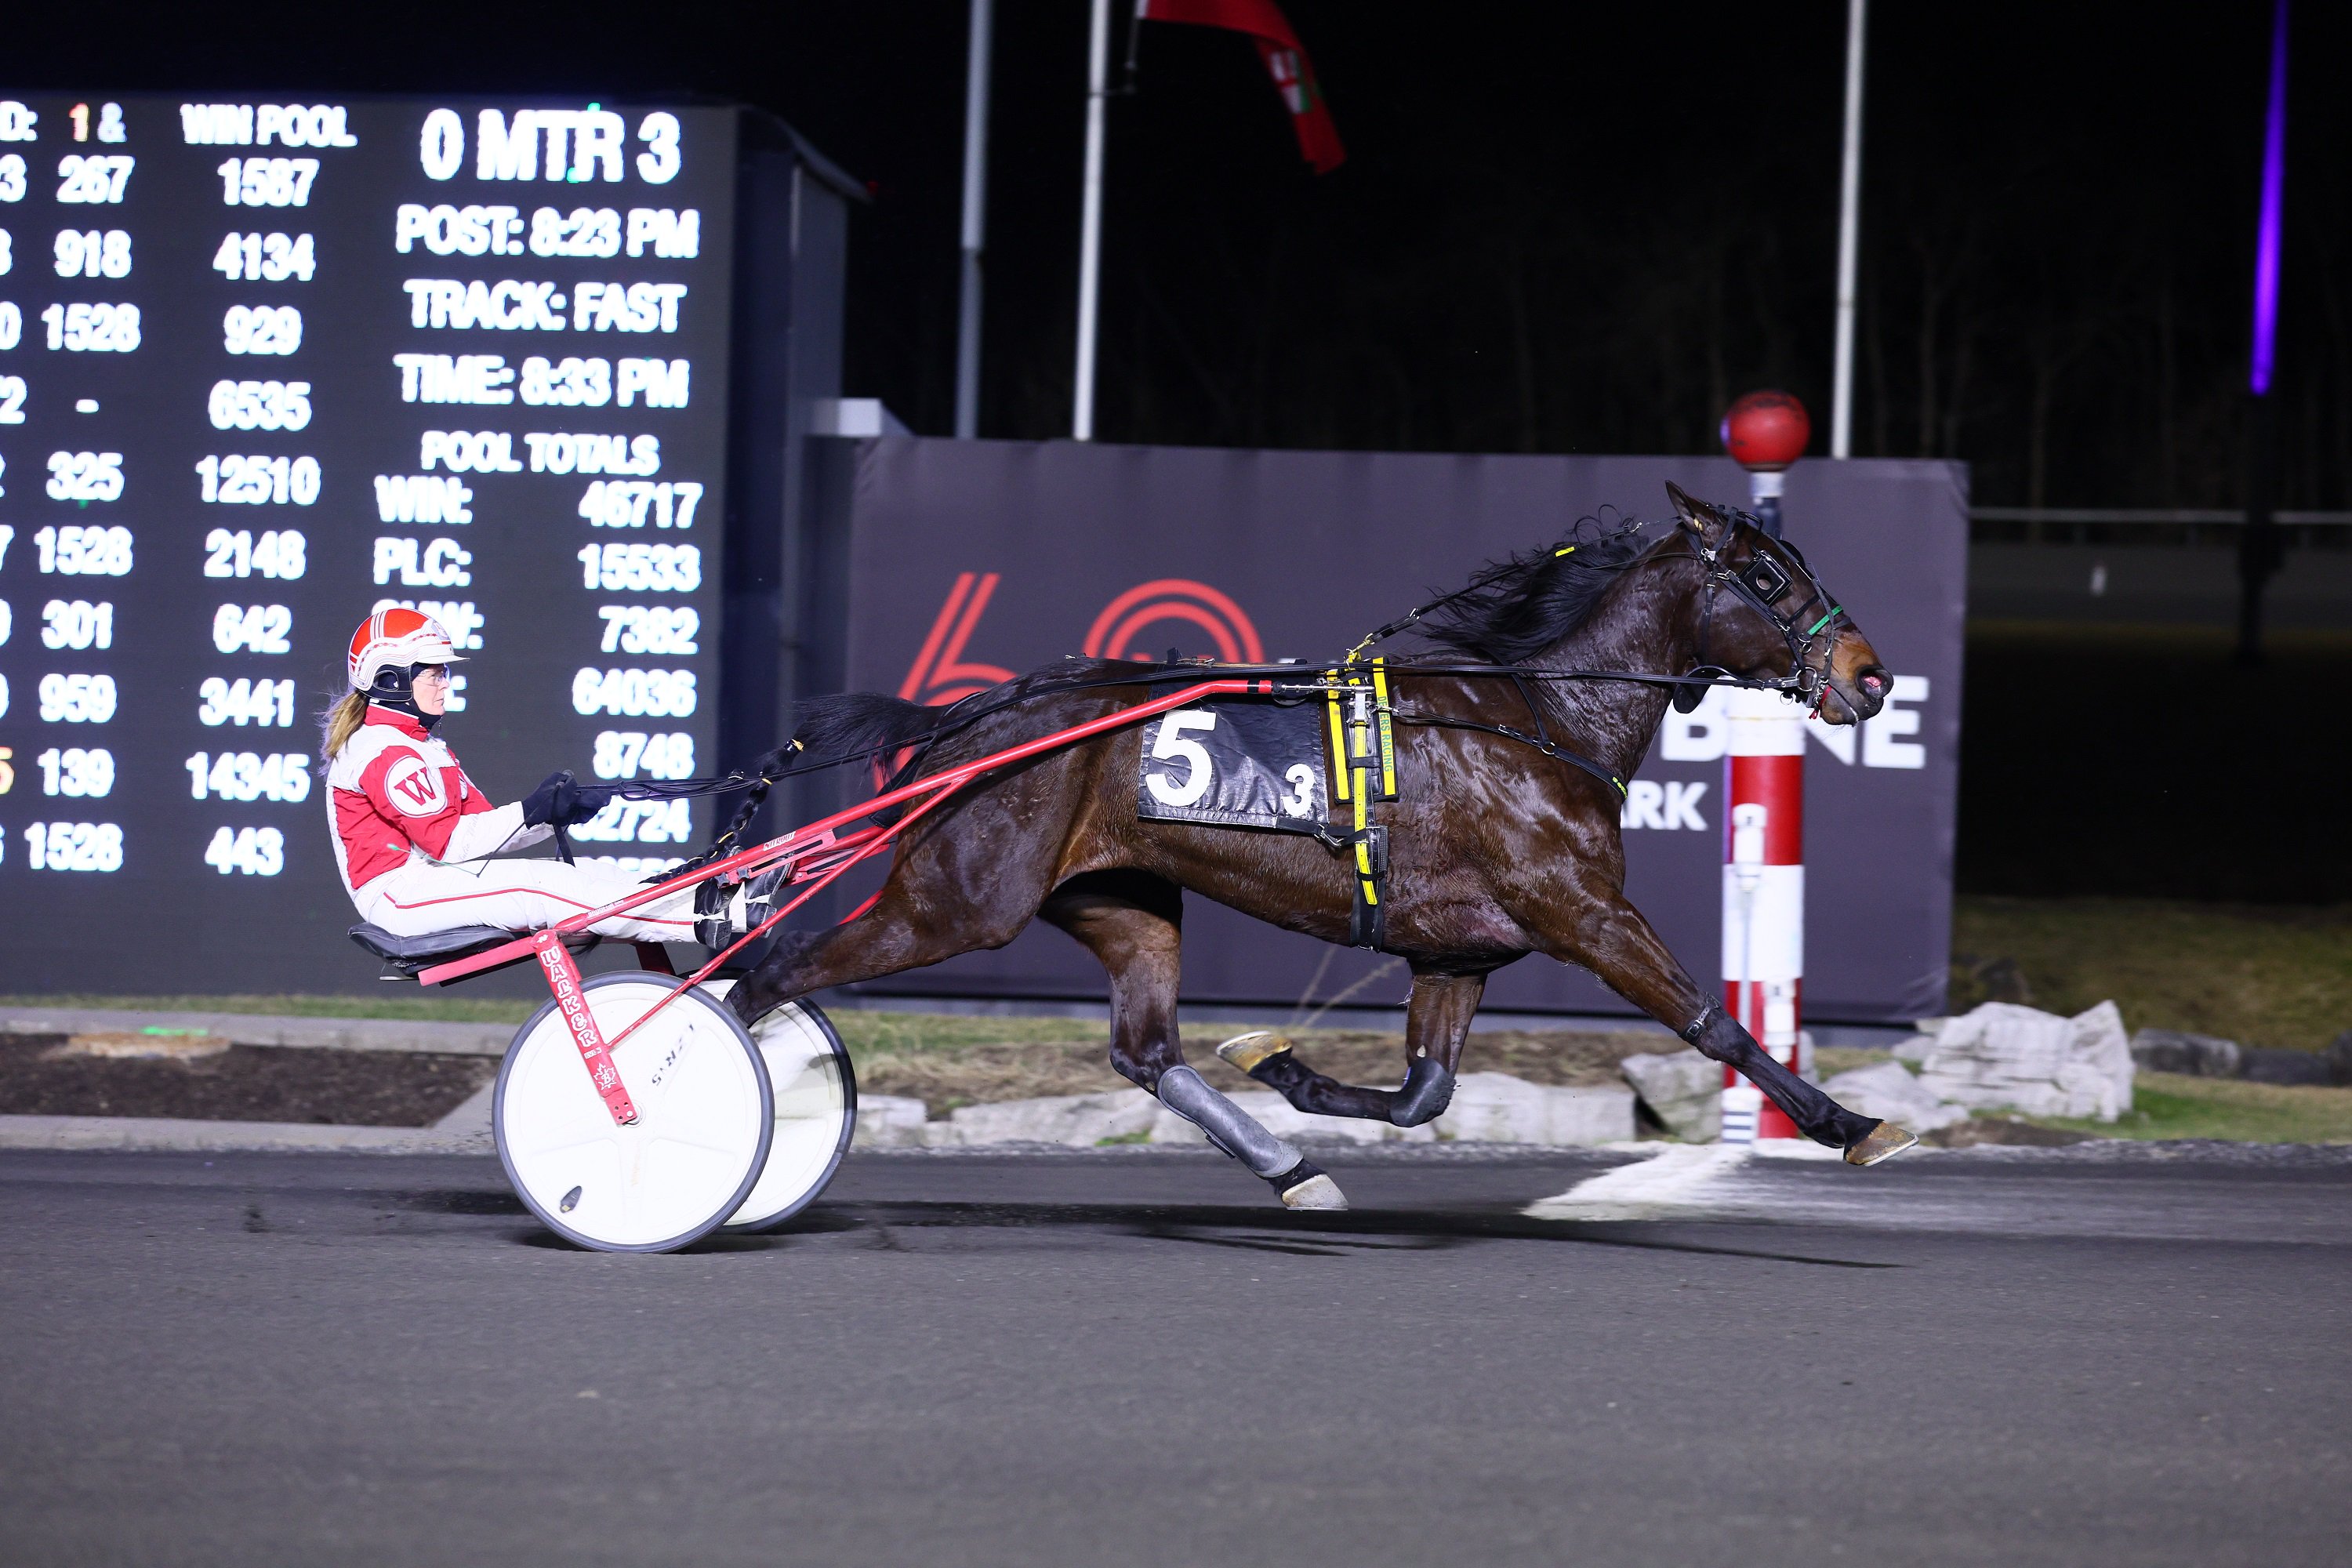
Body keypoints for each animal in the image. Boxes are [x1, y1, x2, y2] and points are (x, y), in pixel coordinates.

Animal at [729, 484, 1910, 1213]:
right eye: (1768, 577)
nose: (1872, 675)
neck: (1543, 717)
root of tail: (974, 717)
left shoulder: (1460, 949)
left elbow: (1425, 1092)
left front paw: (1278, 1063)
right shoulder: (1581, 911)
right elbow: (1714, 1021)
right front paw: (1851, 1122)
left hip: (1123, 899)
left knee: (1146, 1052)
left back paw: (1291, 1168)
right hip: (959, 901)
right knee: (766, 972)